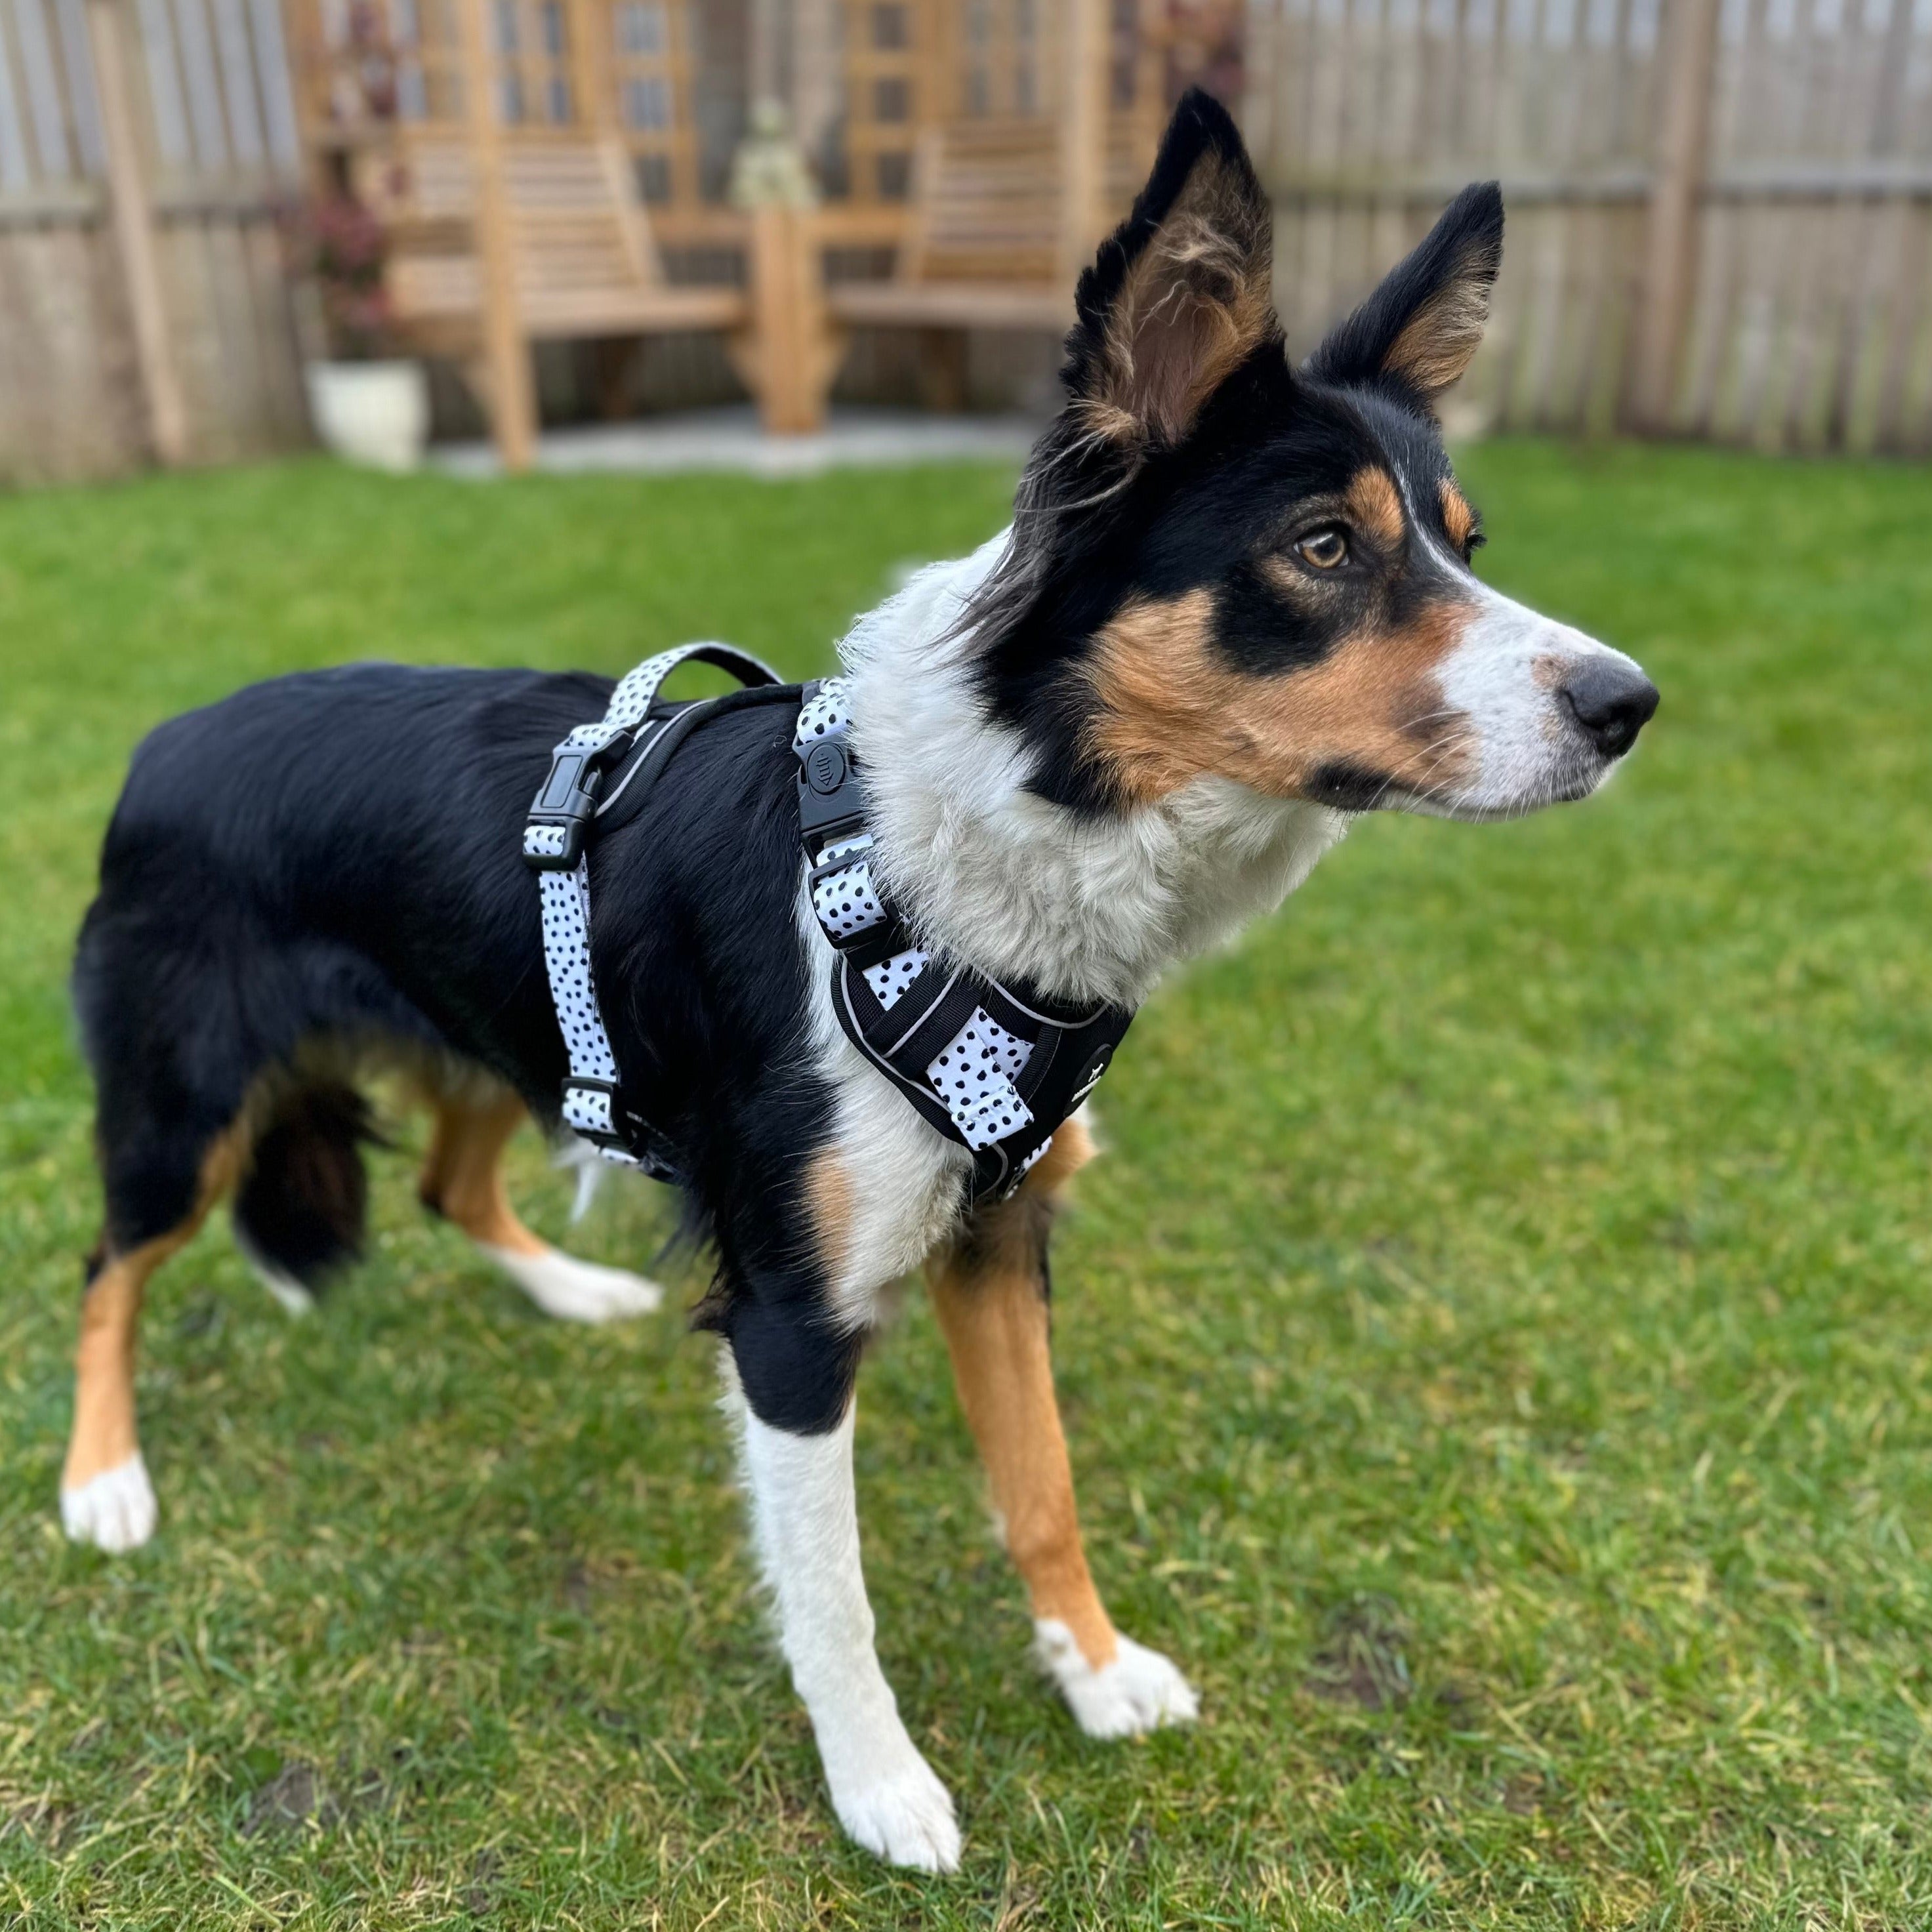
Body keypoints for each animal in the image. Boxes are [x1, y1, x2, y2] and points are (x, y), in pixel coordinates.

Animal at [60, 91, 1656, 1870]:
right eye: (1320, 547)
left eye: (1461, 547)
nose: (1626, 703)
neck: (965, 844)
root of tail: (165, 741)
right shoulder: (789, 1315)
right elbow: (833, 1596)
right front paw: (880, 1782)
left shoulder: (1000, 1234)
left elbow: (1041, 1483)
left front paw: (1091, 1666)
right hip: (182, 1106)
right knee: (108, 1269)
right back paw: (102, 1480)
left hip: (503, 1034)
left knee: (446, 1183)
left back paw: (565, 1289)